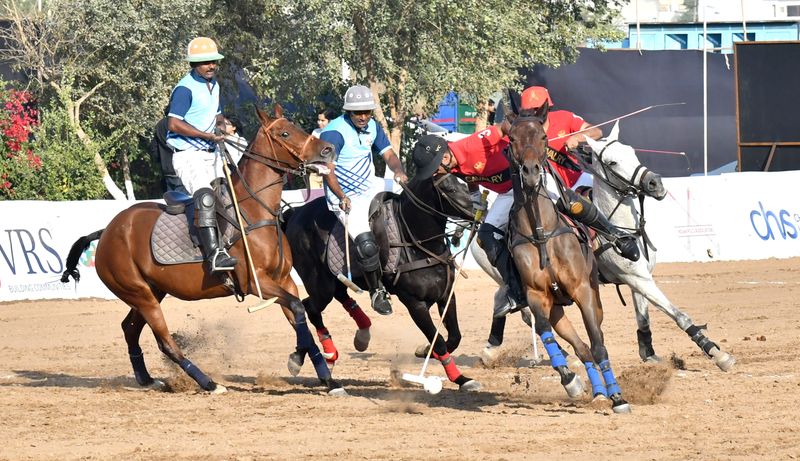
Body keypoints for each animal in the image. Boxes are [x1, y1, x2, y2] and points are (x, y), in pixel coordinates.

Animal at [56, 106, 344, 394]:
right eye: (284, 133)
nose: (328, 149)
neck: (253, 211)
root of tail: (106, 231)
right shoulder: (255, 282)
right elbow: (297, 308)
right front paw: (304, 363)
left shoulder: (283, 280)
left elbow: (299, 316)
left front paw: (325, 377)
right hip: (140, 294)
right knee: (165, 342)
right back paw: (209, 383)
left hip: (151, 290)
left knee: (129, 328)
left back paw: (146, 378)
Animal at [284, 174, 482, 390]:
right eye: (450, 189)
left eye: (466, 184)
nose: (481, 211)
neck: (419, 244)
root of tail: (295, 213)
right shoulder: (415, 304)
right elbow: (439, 341)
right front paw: (454, 375)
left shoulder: (445, 294)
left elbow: (454, 337)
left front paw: (436, 358)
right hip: (319, 284)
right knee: (308, 307)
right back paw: (318, 357)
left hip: (334, 278)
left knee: (333, 299)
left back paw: (350, 340)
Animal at [506, 104, 632, 414]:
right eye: (511, 139)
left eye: (542, 136)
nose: (530, 172)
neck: (540, 231)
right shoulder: (536, 295)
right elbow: (544, 331)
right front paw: (569, 379)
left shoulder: (582, 291)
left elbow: (599, 345)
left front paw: (618, 397)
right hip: (557, 309)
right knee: (580, 347)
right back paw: (595, 390)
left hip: (593, 298)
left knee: (595, 341)